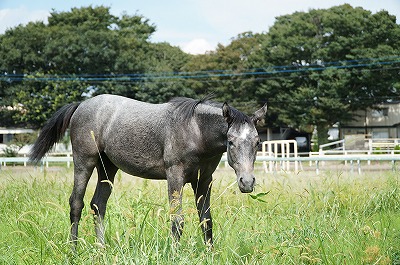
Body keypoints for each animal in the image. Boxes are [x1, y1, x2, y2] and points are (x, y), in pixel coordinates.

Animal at [29, 94, 268, 246]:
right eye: (230, 141)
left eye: (257, 142)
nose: (247, 182)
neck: (194, 130)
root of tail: (81, 105)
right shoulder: (175, 177)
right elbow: (177, 220)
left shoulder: (204, 180)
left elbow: (206, 220)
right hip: (84, 163)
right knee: (76, 204)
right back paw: (74, 250)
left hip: (107, 168)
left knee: (98, 205)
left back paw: (101, 249)